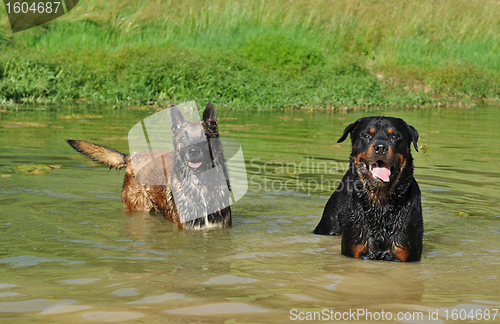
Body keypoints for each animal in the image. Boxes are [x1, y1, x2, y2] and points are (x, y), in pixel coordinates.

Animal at [65, 102, 231, 229]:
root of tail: (133, 155)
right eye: (184, 137)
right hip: (139, 207)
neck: (202, 186)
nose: (193, 151)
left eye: (205, 136)